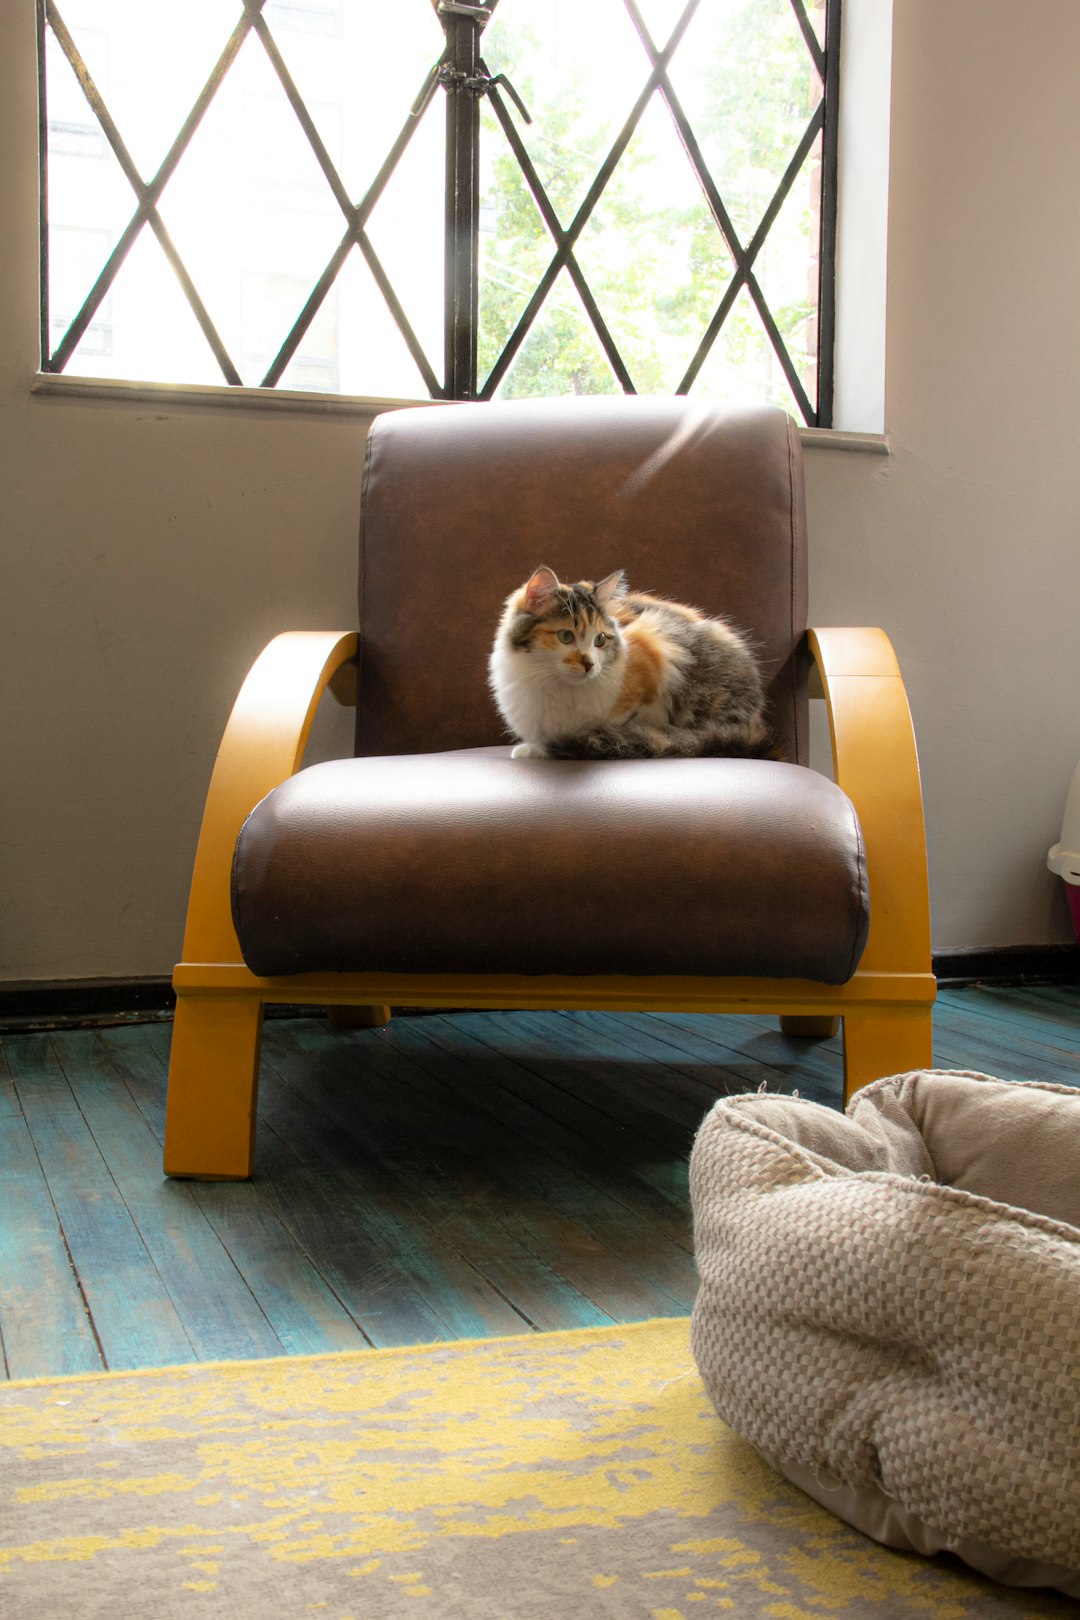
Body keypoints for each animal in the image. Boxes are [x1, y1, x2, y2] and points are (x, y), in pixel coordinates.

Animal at [485, 567, 773, 761]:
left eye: (600, 640)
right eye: (566, 636)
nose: (589, 664)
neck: (555, 686)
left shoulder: (655, 650)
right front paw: (532, 750)